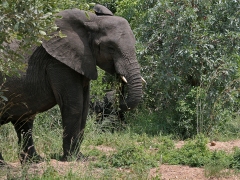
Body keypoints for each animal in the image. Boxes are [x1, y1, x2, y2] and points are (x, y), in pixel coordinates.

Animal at [0, 4, 142, 165]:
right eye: (111, 47)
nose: (119, 78)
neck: (92, 20)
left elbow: (84, 107)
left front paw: (80, 157)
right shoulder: (58, 62)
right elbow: (75, 105)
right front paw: (73, 159)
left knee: (25, 121)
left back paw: (34, 161)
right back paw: (7, 165)